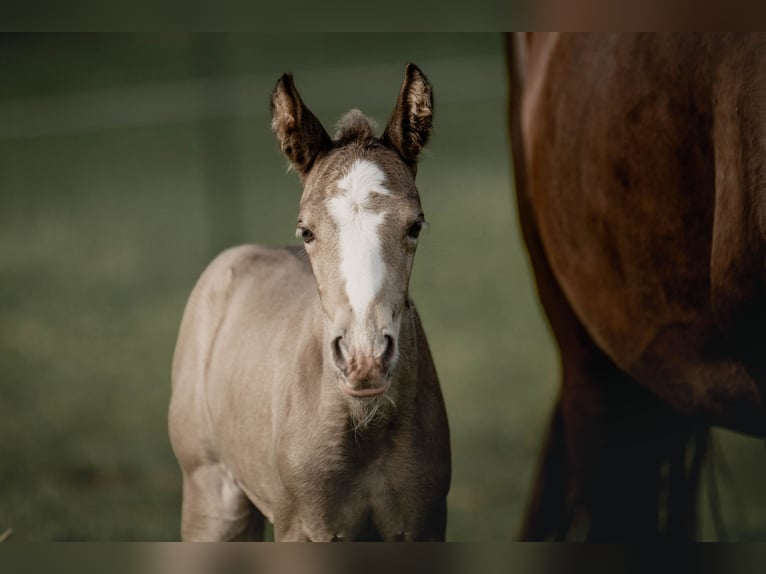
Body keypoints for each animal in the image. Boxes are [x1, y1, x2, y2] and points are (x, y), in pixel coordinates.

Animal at [170, 65, 450, 544]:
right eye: (306, 231)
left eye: (415, 225)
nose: (363, 359)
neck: (365, 430)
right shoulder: (303, 529)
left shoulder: (425, 525)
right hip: (213, 501)